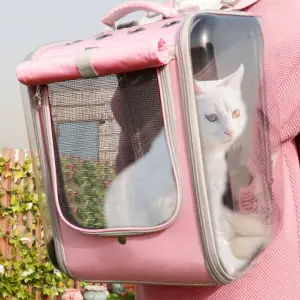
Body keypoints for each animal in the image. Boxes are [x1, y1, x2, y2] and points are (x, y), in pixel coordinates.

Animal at [104, 63, 268, 274]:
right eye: (211, 117)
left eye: (236, 113)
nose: (230, 131)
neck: (208, 158)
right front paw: (230, 265)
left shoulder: (213, 201)